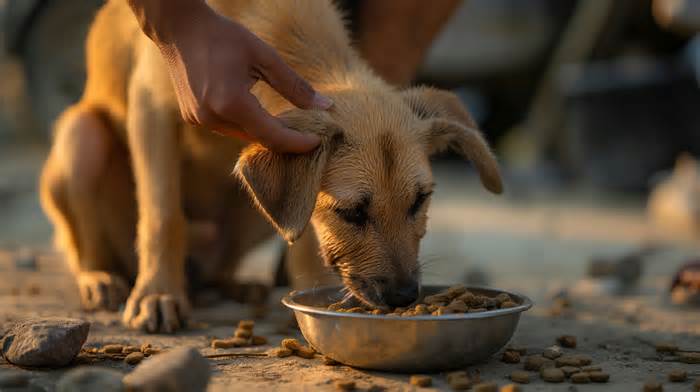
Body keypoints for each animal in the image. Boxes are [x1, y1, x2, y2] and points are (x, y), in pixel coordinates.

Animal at [38, 0, 500, 332]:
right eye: (351, 213)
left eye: (420, 201)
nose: (405, 297)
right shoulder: (152, 104)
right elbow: (162, 216)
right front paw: (158, 294)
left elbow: (308, 241)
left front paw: (313, 293)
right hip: (82, 135)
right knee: (86, 240)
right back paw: (100, 279)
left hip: (253, 205)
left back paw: (238, 285)